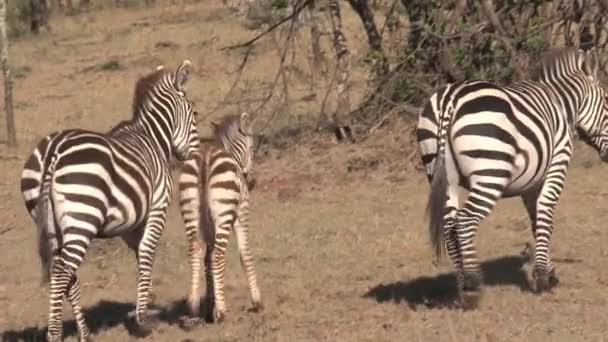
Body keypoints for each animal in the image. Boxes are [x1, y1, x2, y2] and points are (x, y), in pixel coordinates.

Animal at [18, 60, 200, 340]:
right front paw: (142, 320)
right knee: (62, 271)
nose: (196, 154)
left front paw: (143, 306)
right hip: (82, 218)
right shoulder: (157, 208)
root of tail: (52, 152)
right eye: (194, 115)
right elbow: (147, 253)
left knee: (67, 275)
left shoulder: (131, 222)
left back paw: (84, 332)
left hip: (50, 222)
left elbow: (140, 256)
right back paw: (55, 333)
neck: (154, 138)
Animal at [176, 113, 262, 326]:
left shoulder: (208, 227)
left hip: (191, 212)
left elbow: (207, 261)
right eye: (251, 149)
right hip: (224, 214)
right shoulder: (241, 213)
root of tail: (205, 158)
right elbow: (245, 254)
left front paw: (210, 304)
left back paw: (193, 307)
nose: (252, 182)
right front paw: (256, 301)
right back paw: (222, 312)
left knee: (195, 253)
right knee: (218, 256)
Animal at [416, 48, 608, 310]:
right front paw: (542, 278)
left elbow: (538, 221)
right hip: (489, 173)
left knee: (449, 224)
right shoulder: (557, 164)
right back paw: (473, 285)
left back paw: (461, 287)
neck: (562, 106)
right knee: (464, 221)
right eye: (607, 102)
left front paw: (546, 271)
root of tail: (450, 100)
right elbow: (546, 215)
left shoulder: (531, 183)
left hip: (440, 173)